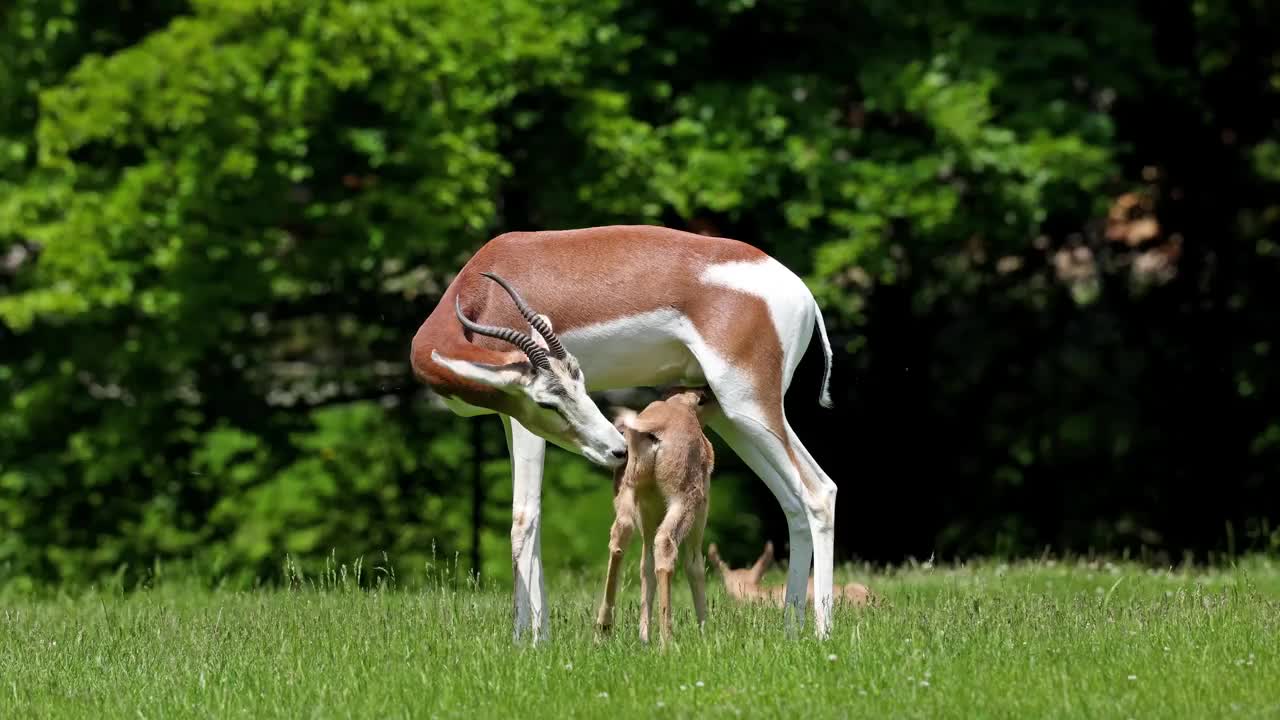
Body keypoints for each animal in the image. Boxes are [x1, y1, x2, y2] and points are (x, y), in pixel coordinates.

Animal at [409, 224, 839, 638]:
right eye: (552, 400)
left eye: (580, 384)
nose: (617, 449)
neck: (481, 291)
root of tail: (801, 292)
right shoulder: (511, 416)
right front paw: (534, 635)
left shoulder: (523, 421)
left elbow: (523, 519)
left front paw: (529, 643)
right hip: (734, 417)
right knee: (794, 501)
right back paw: (791, 630)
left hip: (749, 406)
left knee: (818, 492)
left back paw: (822, 632)